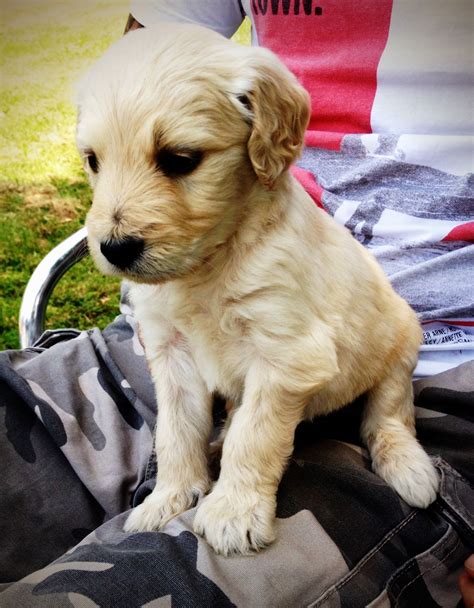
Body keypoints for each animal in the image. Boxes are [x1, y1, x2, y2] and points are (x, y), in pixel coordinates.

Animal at [77, 23, 436, 556]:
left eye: (180, 160)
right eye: (93, 161)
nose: (115, 248)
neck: (206, 266)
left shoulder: (286, 355)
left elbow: (257, 435)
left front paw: (233, 511)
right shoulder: (171, 354)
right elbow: (175, 431)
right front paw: (168, 498)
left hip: (400, 343)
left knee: (388, 415)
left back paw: (408, 466)